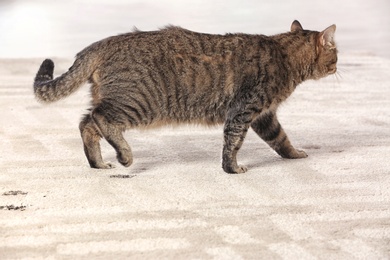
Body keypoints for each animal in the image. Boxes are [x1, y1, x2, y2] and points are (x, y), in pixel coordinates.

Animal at [33, 20, 336, 174]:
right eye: (335, 52)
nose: (337, 66)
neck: (284, 54)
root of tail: (100, 44)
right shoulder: (243, 110)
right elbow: (232, 143)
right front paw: (231, 168)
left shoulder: (264, 116)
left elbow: (281, 139)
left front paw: (294, 155)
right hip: (136, 104)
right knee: (100, 119)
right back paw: (125, 156)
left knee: (86, 124)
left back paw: (97, 162)